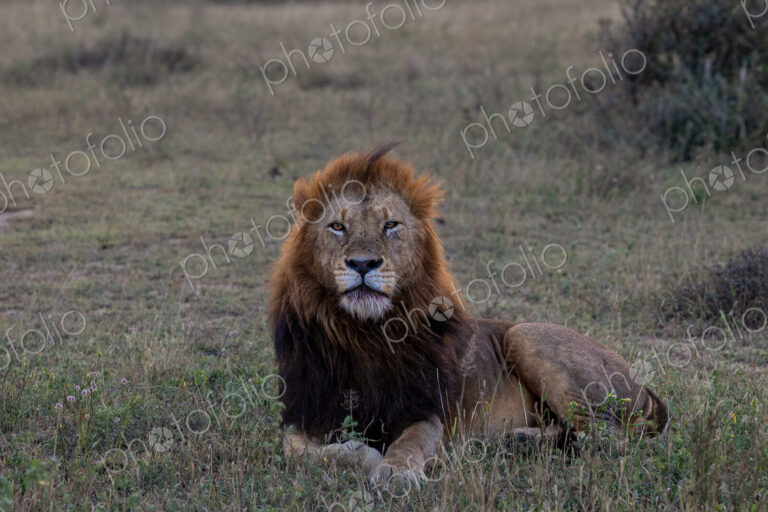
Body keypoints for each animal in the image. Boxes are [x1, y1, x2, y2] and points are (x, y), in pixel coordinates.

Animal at [268, 144, 668, 486]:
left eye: (390, 225)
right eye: (338, 226)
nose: (363, 263)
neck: (361, 333)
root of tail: (642, 383)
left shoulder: (427, 410)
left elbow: (410, 442)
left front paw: (396, 471)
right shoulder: (305, 410)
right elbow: (295, 450)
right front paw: (363, 453)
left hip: (524, 335)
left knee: (608, 437)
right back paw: (515, 441)